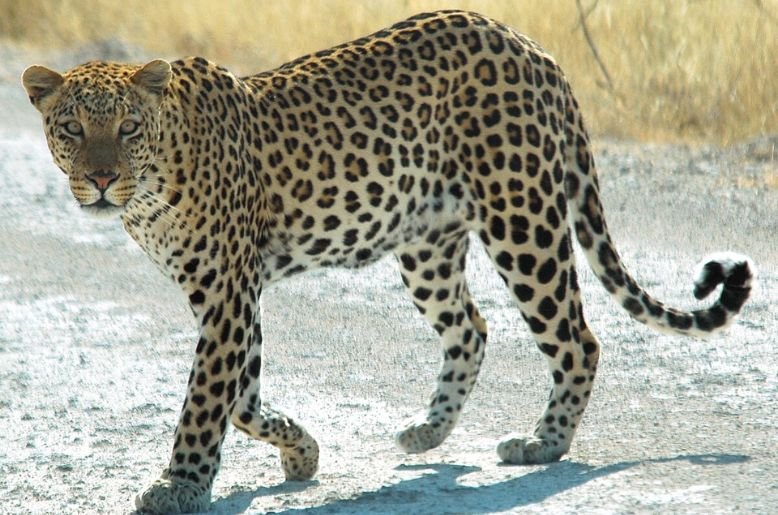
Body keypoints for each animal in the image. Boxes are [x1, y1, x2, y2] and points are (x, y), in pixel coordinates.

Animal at [22, 10, 754, 514]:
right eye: (72, 129)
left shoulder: (227, 291)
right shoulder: (229, 294)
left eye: (127, 129)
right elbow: (242, 396)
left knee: (577, 336)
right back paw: (428, 432)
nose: (101, 181)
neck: (153, 185)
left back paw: (542, 444)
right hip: (425, 243)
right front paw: (301, 450)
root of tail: (531, 46)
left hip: (523, 219)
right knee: (471, 328)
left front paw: (179, 484)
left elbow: (206, 400)